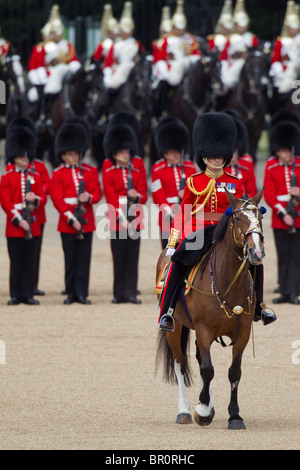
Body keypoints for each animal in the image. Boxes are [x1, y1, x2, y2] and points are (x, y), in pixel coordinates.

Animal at [155, 188, 264, 430]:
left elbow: (234, 372)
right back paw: (185, 411)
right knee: (180, 363)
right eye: (238, 218)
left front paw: (234, 415)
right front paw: (203, 411)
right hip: (176, 328)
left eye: (260, 217)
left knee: (198, 359)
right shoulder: (204, 329)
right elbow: (207, 369)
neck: (227, 279)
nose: (256, 253)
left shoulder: (242, 333)